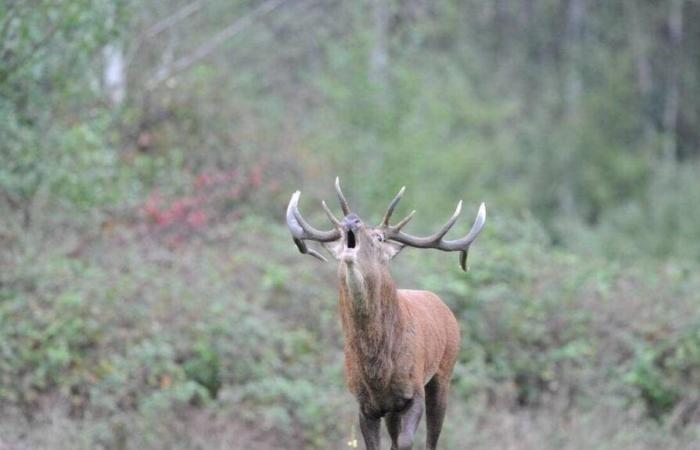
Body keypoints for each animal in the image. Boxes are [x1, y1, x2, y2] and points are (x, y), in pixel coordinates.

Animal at [286, 179, 486, 450]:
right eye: (339, 234)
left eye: (379, 237)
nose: (351, 220)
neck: (377, 370)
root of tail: (443, 306)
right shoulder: (364, 404)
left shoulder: (414, 391)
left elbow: (406, 442)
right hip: (393, 408)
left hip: (444, 371)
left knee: (432, 436)